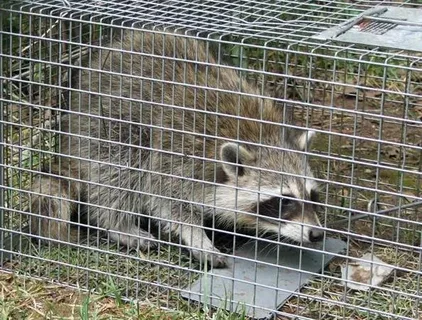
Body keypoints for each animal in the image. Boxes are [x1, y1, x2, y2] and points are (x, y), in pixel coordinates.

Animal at [28, 28, 322, 268]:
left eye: (312, 196)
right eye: (283, 200)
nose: (317, 234)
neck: (260, 137)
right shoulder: (178, 153)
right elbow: (167, 200)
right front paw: (197, 238)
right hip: (110, 123)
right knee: (121, 170)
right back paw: (118, 224)